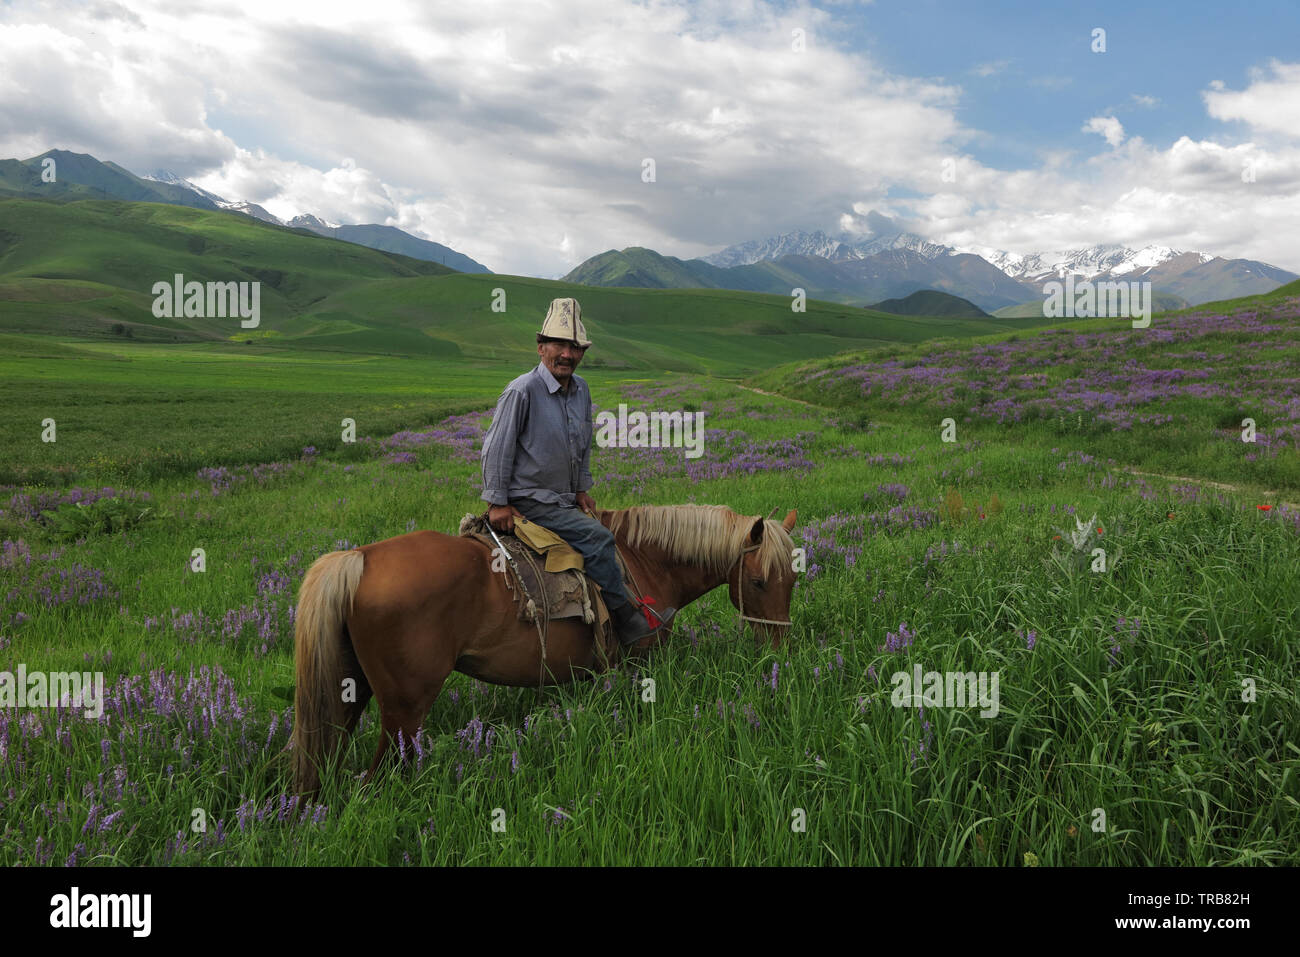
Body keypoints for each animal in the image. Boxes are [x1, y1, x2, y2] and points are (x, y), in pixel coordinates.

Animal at [291, 504, 795, 795]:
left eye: (793, 578)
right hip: (404, 711)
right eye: (758, 582)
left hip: (350, 693)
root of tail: (359, 558)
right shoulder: (637, 666)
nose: (778, 651)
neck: (642, 561)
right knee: (380, 775)